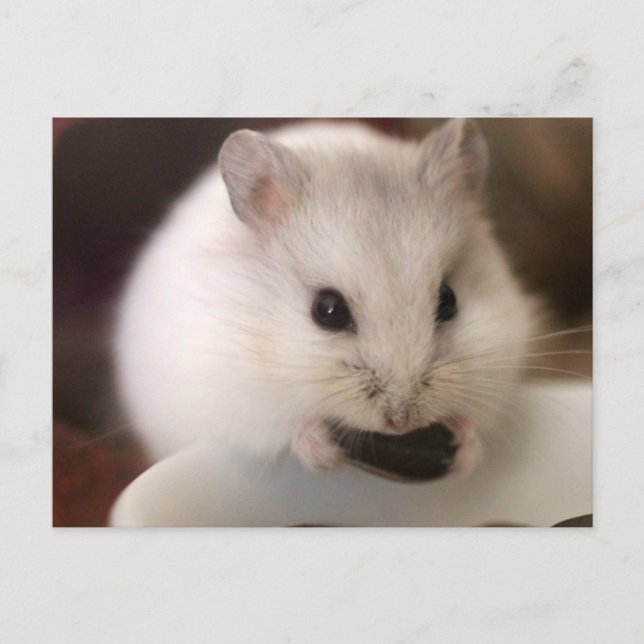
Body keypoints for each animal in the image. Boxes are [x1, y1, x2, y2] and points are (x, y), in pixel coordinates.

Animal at [114, 118, 537, 475]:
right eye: (328, 310)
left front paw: (466, 454)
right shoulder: (231, 396)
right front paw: (326, 454)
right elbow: (290, 428)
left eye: (449, 300)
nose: (401, 422)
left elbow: (473, 421)